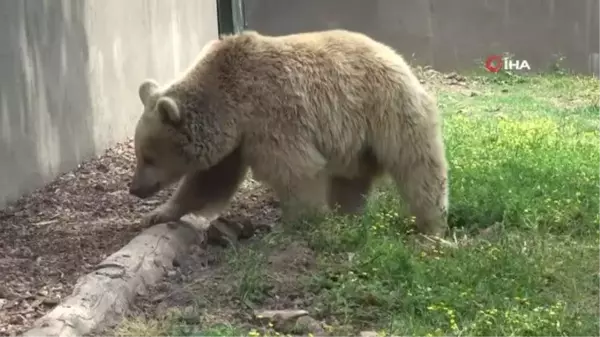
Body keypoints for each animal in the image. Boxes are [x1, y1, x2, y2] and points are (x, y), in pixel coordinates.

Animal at [129, 28, 448, 234]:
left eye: (149, 156)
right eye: (139, 153)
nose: (135, 189)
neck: (229, 102)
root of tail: (398, 57)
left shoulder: (271, 118)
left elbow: (295, 169)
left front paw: (298, 223)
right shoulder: (235, 141)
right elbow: (209, 180)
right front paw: (157, 214)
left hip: (388, 112)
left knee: (418, 168)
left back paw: (433, 227)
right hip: (355, 142)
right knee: (351, 181)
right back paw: (348, 217)